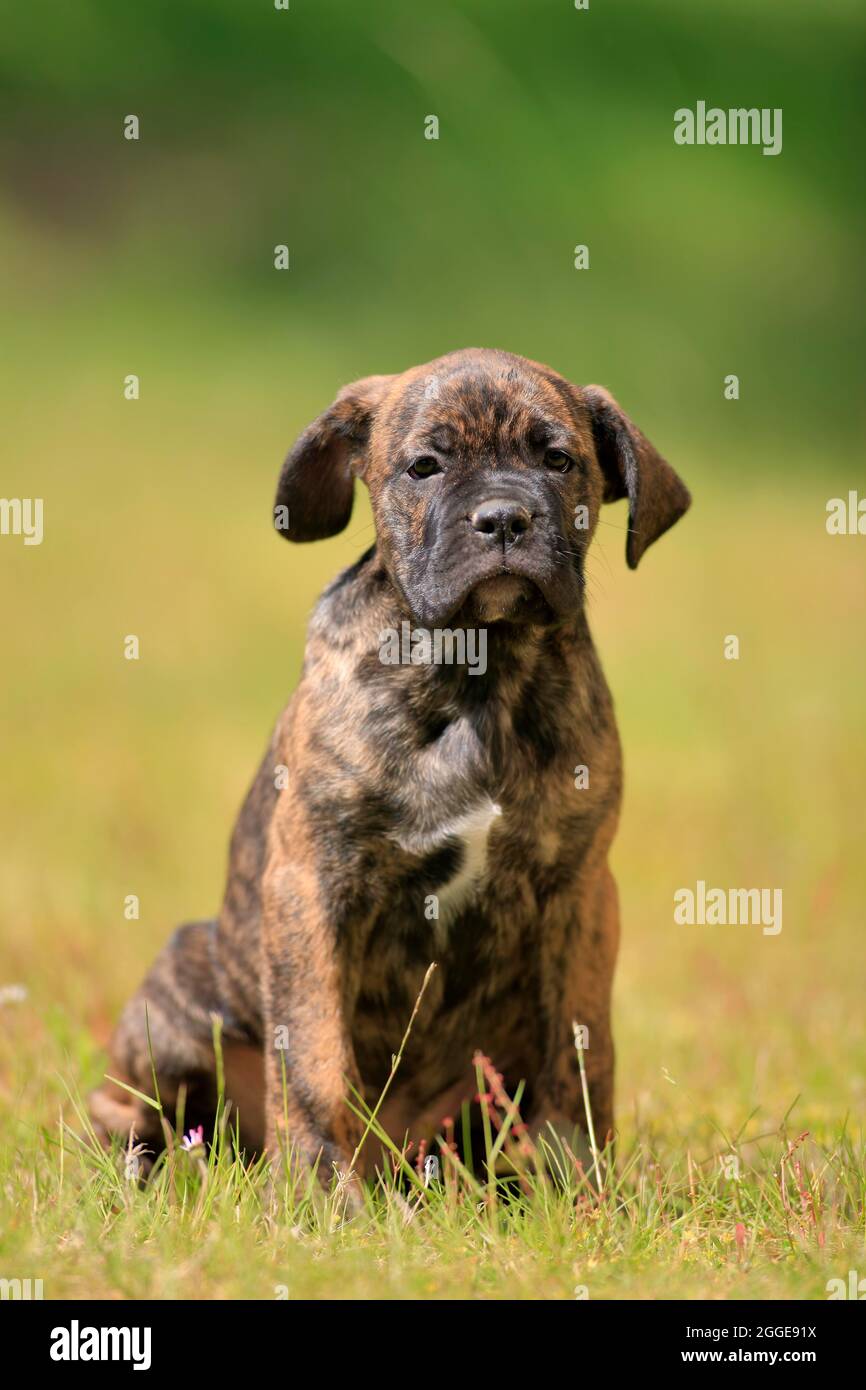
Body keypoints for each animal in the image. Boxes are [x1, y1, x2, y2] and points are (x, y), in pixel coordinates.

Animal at [89, 347, 692, 1184]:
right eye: (425, 467)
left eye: (558, 460)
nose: (503, 519)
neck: (479, 670)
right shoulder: (313, 884)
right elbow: (314, 1060)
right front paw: (317, 1194)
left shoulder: (579, 893)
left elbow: (581, 1048)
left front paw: (576, 1181)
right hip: (178, 997)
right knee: (133, 1110)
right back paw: (149, 1170)